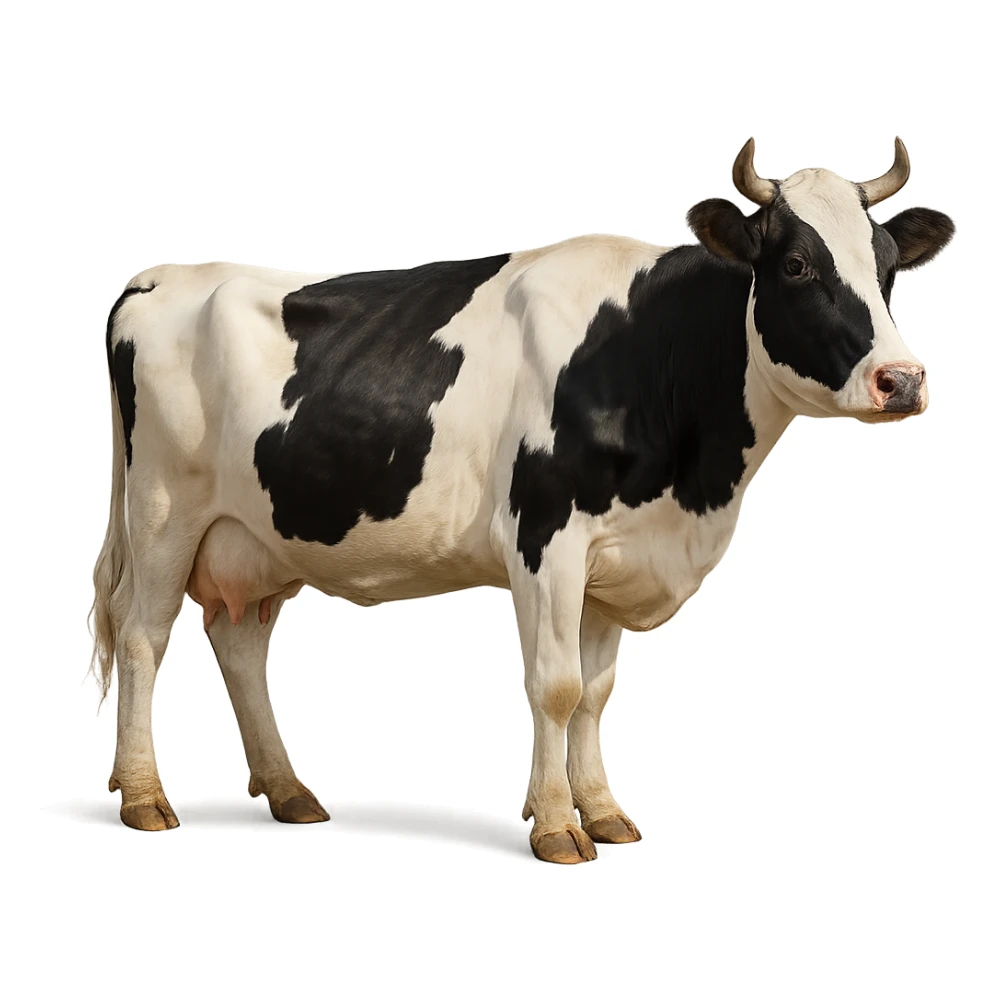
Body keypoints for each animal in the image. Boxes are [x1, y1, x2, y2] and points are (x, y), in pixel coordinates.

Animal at [90, 138, 954, 864]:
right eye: (798, 265)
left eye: (888, 268)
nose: (904, 380)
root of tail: (158, 275)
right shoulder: (547, 537)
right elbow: (557, 686)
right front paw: (557, 827)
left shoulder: (616, 557)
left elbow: (597, 694)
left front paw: (602, 812)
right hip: (164, 512)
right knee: (142, 637)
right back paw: (145, 797)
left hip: (260, 532)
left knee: (239, 640)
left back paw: (289, 790)